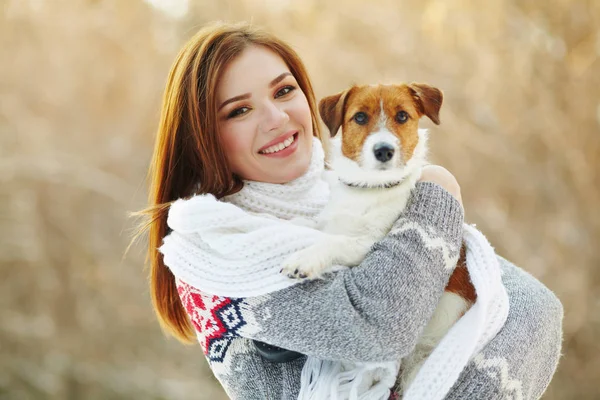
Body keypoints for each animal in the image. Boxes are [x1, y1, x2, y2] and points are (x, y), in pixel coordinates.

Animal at [280, 83, 474, 394]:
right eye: (359, 117)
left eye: (403, 116)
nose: (384, 150)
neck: (368, 189)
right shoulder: (330, 220)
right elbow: (311, 224)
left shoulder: (368, 244)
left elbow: (333, 241)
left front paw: (305, 259)